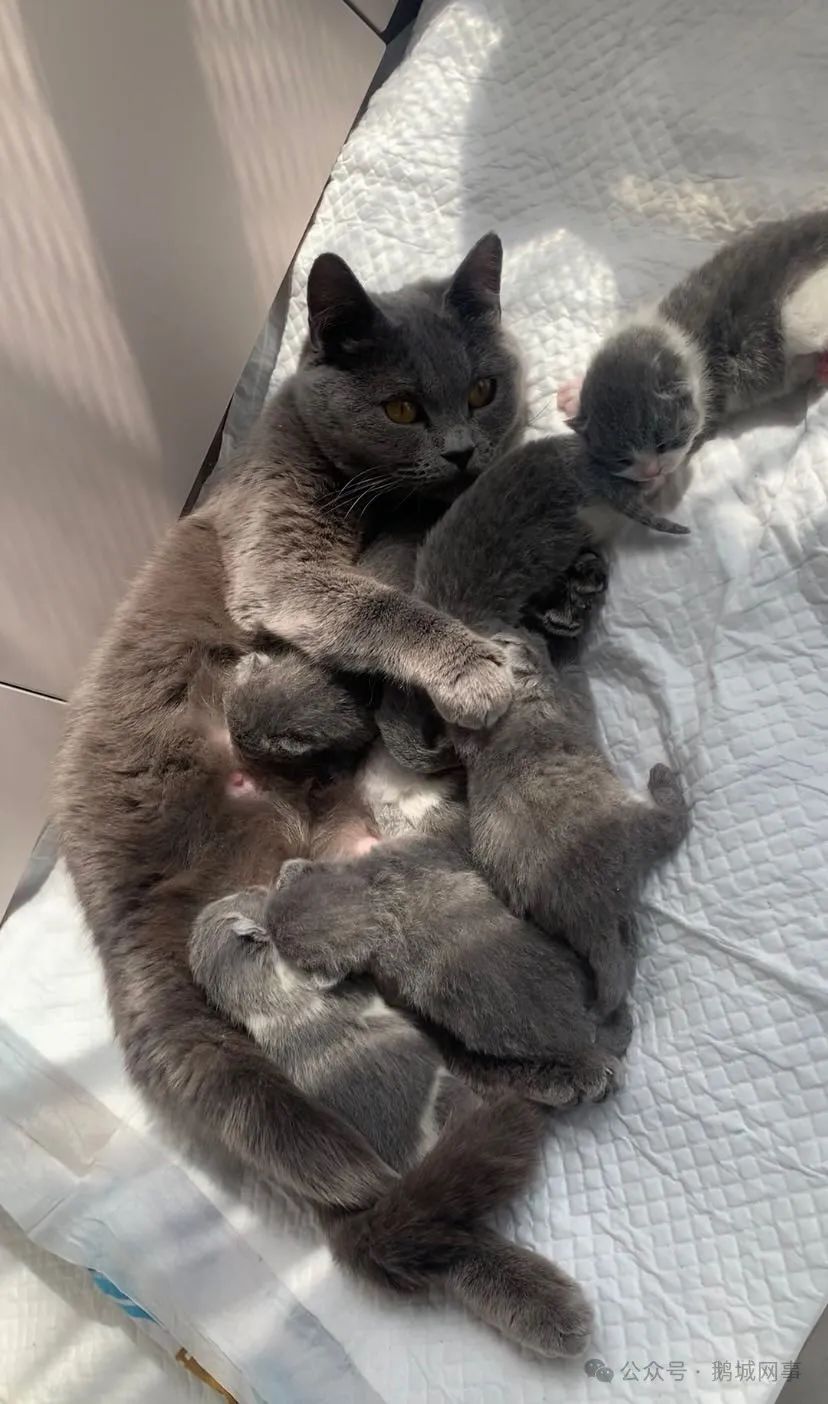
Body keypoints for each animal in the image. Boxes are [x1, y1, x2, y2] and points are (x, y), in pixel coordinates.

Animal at [557, 209, 828, 486]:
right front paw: (573, 393)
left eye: (662, 443)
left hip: (800, 315)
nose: (651, 472)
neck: (680, 332)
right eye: (622, 460)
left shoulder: (712, 403)